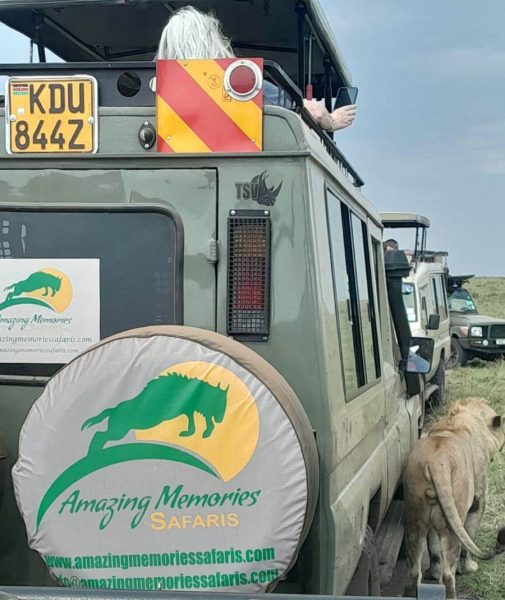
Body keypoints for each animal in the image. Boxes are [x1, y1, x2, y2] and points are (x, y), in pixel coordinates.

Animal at [403, 397, 504, 598]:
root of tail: (436, 462)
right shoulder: (478, 502)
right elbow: (470, 537)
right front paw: (468, 568)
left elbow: (434, 549)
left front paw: (432, 573)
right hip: (453, 521)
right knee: (448, 574)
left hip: (415, 520)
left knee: (414, 571)